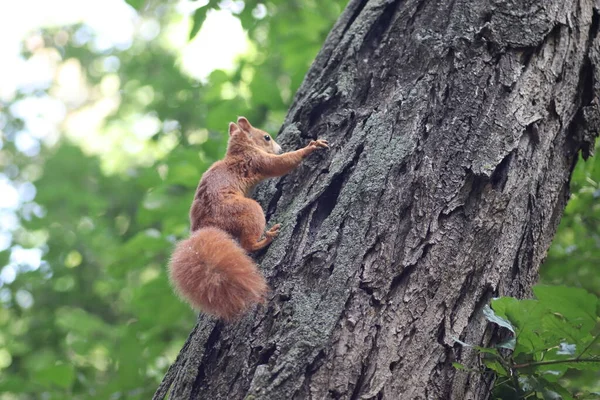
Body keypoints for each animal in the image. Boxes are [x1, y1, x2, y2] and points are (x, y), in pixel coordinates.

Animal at [168, 116, 328, 322]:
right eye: (266, 137)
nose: (279, 147)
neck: (241, 150)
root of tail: (205, 227)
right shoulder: (256, 161)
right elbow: (281, 164)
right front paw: (310, 147)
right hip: (247, 210)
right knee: (247, 245)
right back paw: (266, 239)